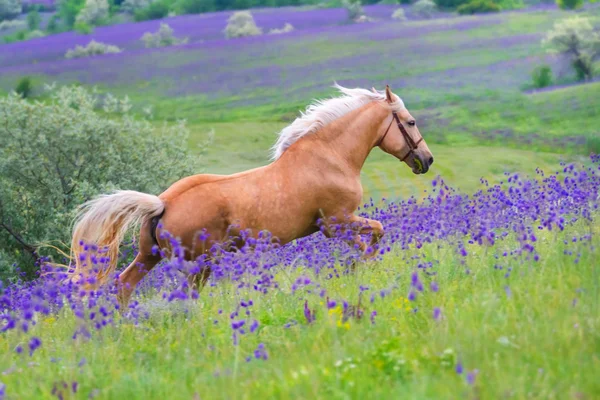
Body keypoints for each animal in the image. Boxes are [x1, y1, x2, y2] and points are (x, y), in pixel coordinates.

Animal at [70, 85, 432, 306]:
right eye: (411, 121)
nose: (426, 160)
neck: (330, 157)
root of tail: (163, 203)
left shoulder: (337, 226)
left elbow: (372, 241)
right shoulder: (338, 223)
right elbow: (374, 238)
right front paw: (359, 270)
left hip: (150, 256)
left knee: (123, 286)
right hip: (198, 263)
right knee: (183, 295)